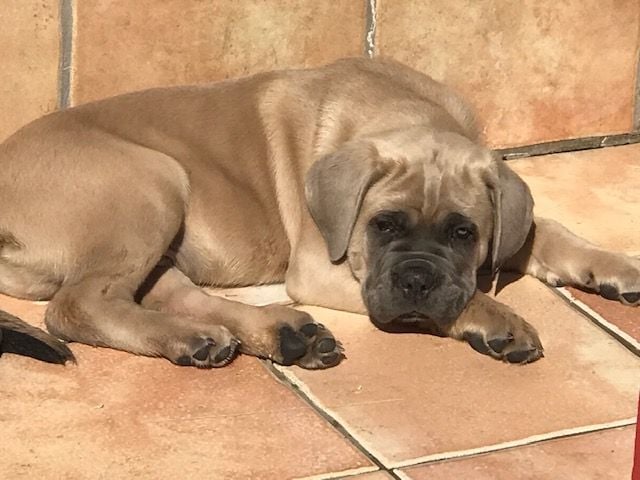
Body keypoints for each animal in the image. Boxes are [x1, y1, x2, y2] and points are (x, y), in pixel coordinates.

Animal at [1, 57, 638, 368]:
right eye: (383, 226)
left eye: (465, 232)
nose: (417, 279)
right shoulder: (321, 268)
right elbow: (459, 300)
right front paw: (498, 319)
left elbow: (542, 230)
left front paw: (611, 265)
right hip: (152, 184)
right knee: (78, 307)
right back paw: (204, 339)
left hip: (158, 222)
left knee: (163, 296)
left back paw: (275, 334)